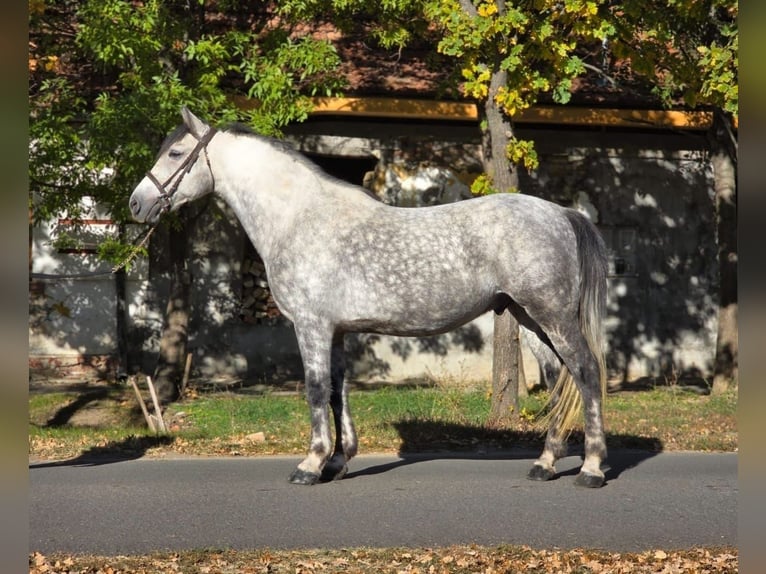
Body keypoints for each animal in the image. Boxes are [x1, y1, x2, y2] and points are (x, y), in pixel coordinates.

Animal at [130, 108, 609, 488]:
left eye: (175, 154)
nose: (136, 204)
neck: (299, 218)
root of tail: (561, 213)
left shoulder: (312, 327)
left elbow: (316, 389)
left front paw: (310, 465)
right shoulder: (337, 332)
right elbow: (338, 390)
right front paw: (337, 462)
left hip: (551, 316)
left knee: (585, 372)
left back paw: (591, 469)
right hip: (530, 319)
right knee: (559, 380)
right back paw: (545, 464)